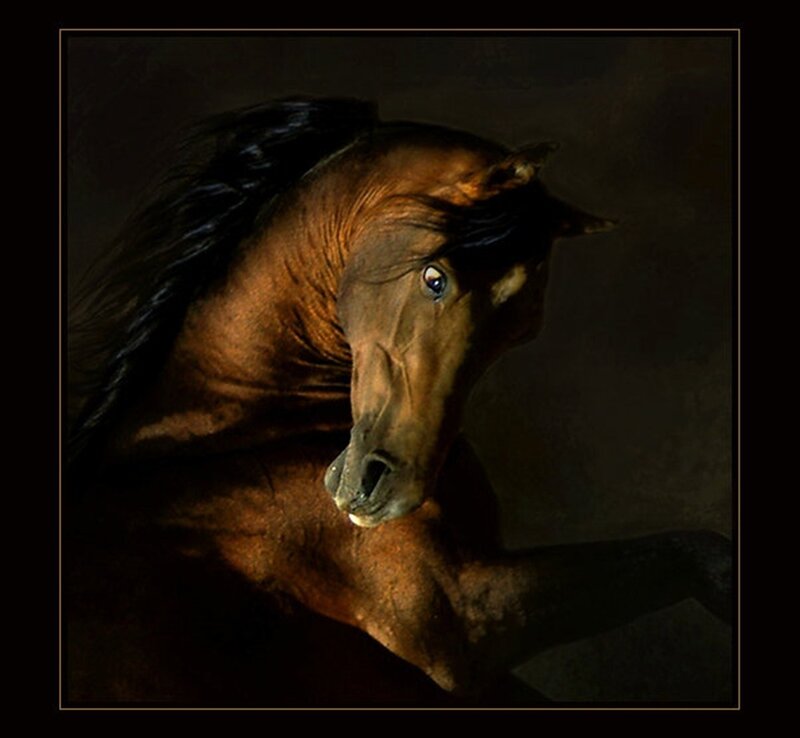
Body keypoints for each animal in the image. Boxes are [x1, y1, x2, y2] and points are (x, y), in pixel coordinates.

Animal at [65, 98, 732, 706]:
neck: (242, 439)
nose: (385, 491)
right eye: (435, 278)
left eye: (523, 329)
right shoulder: (463, 618)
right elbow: (700, 554)